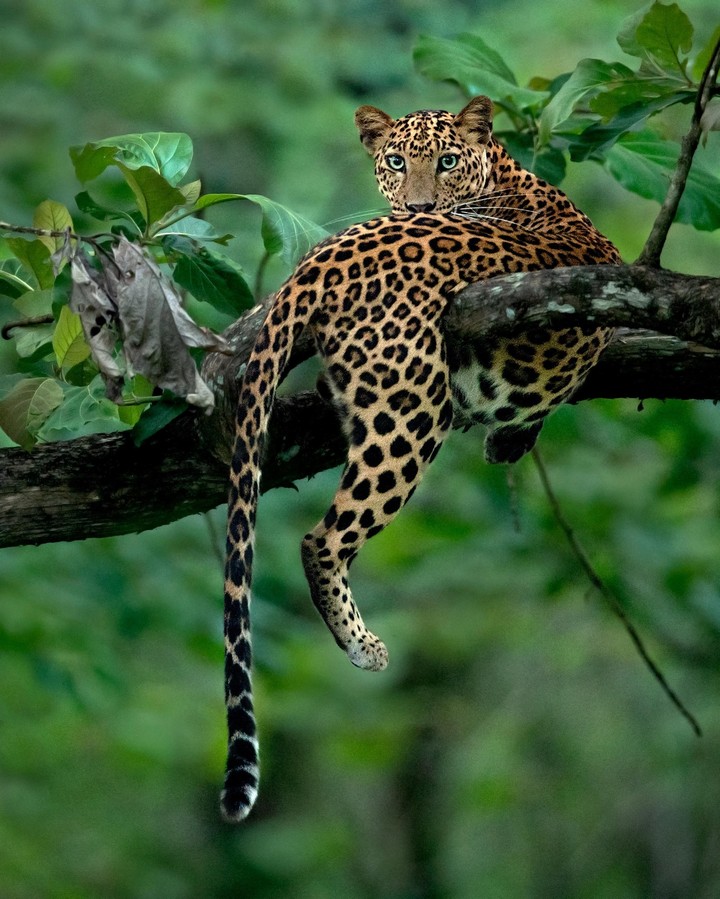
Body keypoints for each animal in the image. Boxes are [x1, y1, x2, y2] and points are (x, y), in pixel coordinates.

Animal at [221, 96, 621, 822]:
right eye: (396, 162)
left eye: (448, 160)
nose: (419, 204)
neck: (511, 179)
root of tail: (325, 256)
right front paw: (514, 433)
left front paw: (511, 437)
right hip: (408, 411)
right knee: (324, 538)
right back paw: (362, 643)